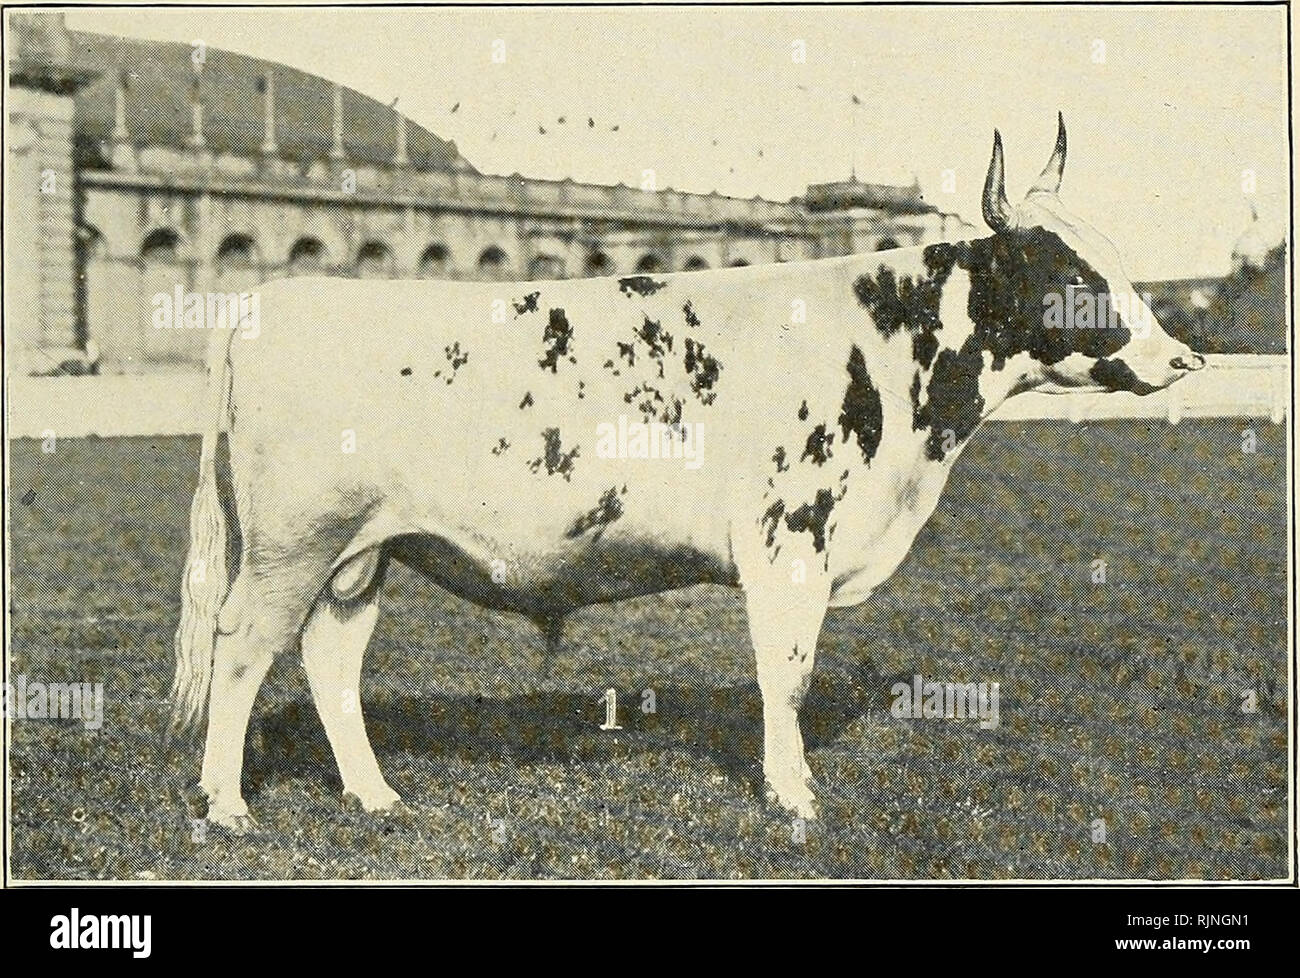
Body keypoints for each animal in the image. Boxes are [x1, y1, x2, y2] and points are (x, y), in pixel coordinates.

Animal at [171, 116, 1204, 831]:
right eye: (1072, 274)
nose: (1186, 357)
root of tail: (271, 300)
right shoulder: (789, 537)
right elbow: (786, 675)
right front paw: (794, 796)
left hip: (360, 552)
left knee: (329, 659)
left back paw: (376, 795)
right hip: (293, 541)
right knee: (242, 645)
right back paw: (227, 806)